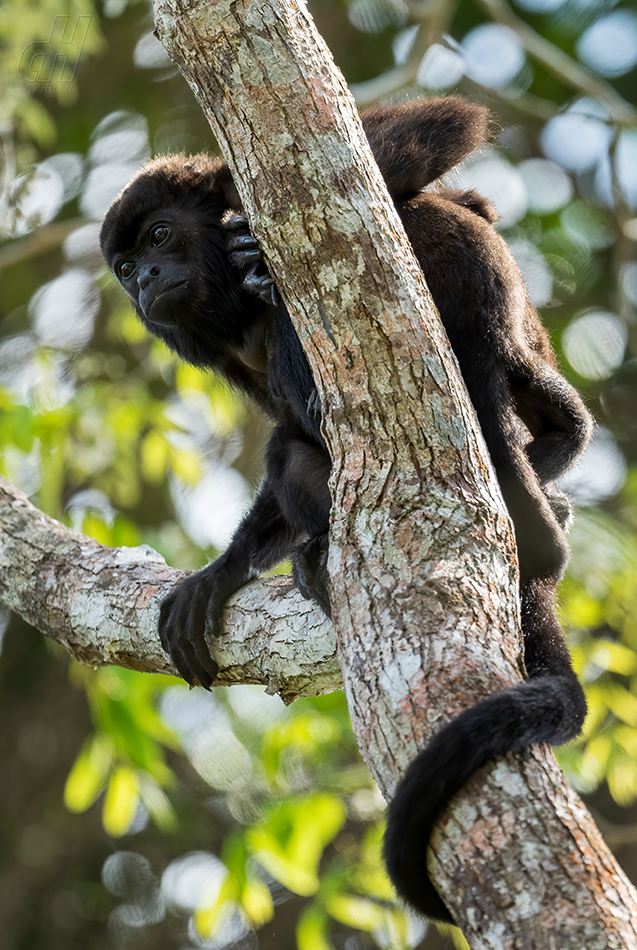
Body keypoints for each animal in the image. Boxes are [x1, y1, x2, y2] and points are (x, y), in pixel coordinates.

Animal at [99, 100, 592, 924]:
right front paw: (220, 573)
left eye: (160, 237)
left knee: (432, 228)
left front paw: (257, 253)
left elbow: (436, 131)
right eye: (128, 268)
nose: (146, 282)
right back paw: (321, 552)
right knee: (290, 447)